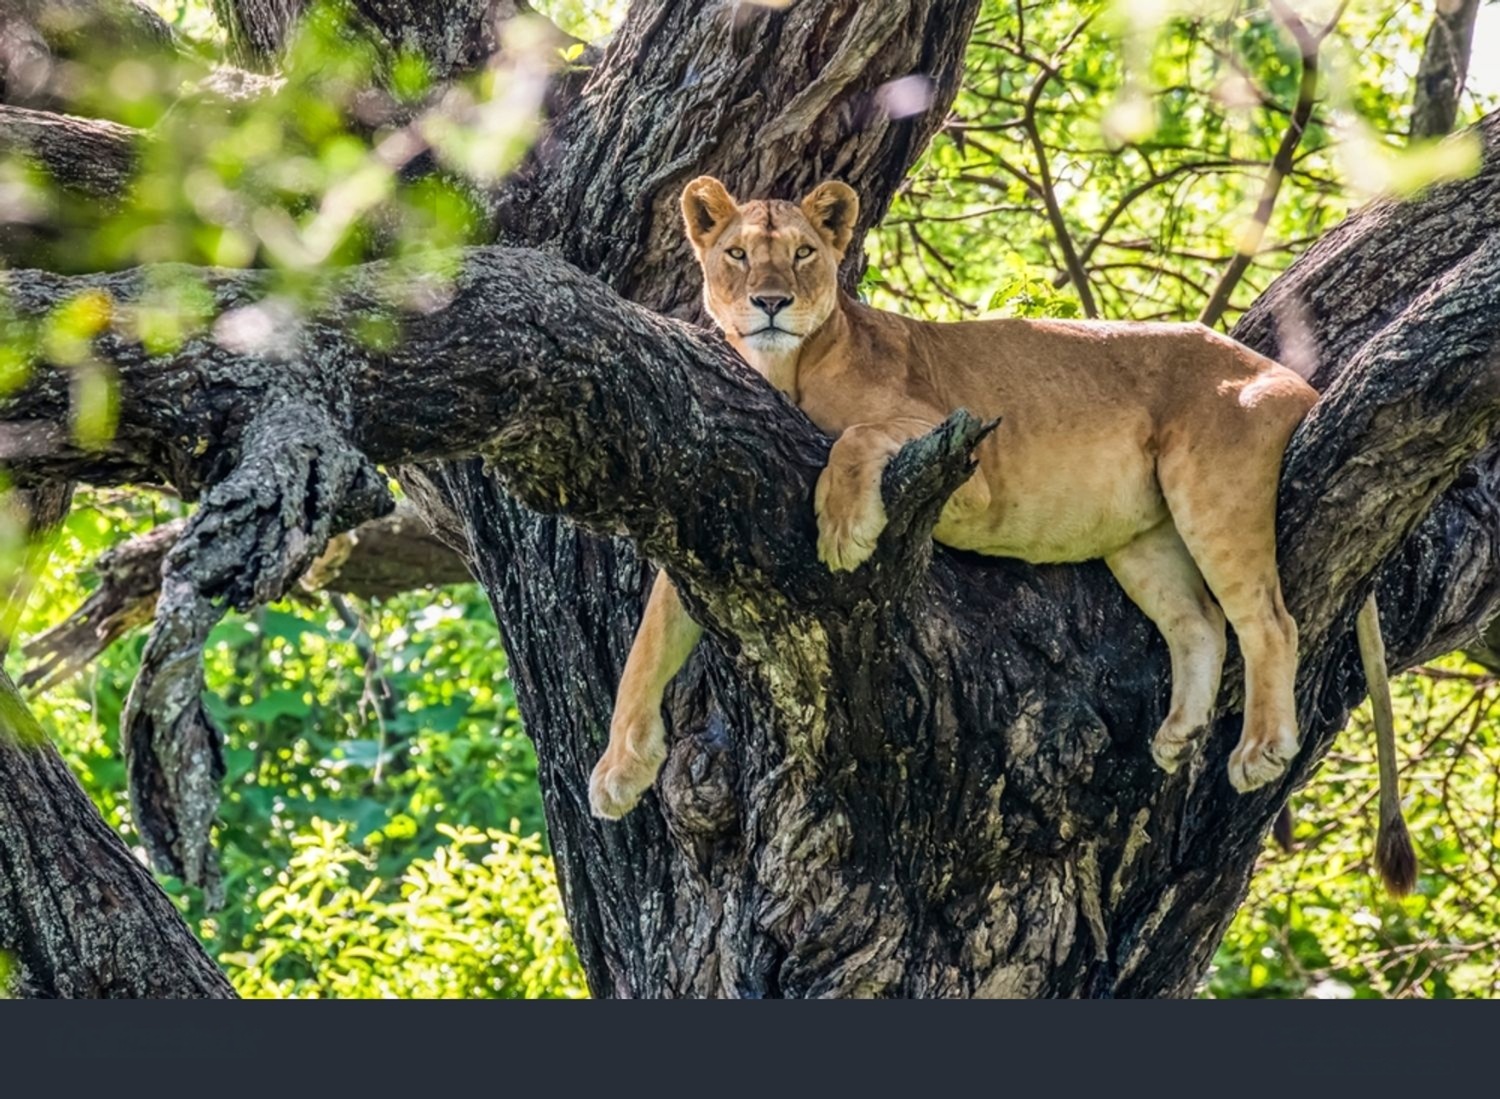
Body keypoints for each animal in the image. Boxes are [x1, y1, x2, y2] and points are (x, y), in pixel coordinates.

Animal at [588, 176, 1414, 894]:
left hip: (1212, 486)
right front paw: (618, 770)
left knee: (1269, 619)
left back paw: (1260, 748)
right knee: (1199, 623)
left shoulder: (955, 442)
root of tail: (1292, 377)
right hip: (1143, 538)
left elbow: (851, 439)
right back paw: (1178, 735)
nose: (769, 301)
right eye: (735, 253)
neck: (785, 366)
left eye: (801, 253)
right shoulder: (717, 508)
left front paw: (846, 528)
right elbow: (649, 638)